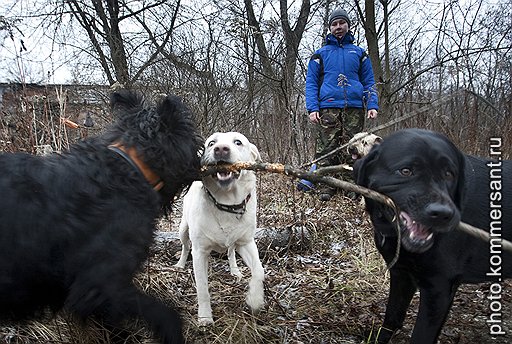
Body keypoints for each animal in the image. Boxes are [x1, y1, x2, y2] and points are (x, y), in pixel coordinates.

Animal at [175, 131, 264, 326]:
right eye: (211, 143)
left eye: (238, 142)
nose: (221, 149)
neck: (227, 203)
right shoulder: (199, 251)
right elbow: (202, 288)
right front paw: (205, 317)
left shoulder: (246, 242)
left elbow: (259, 271)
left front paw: (255, 299)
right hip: (183, 229)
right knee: (185, 247)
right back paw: (180, 264)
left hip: (234, 243)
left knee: (231, 252)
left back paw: (235, 270)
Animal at [354, 127, 512, 342]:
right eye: (406, 171)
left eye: (449, 174)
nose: (443, 214)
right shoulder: (402, 274)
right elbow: (392, 317)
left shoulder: (439, 288)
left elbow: (421, 336)